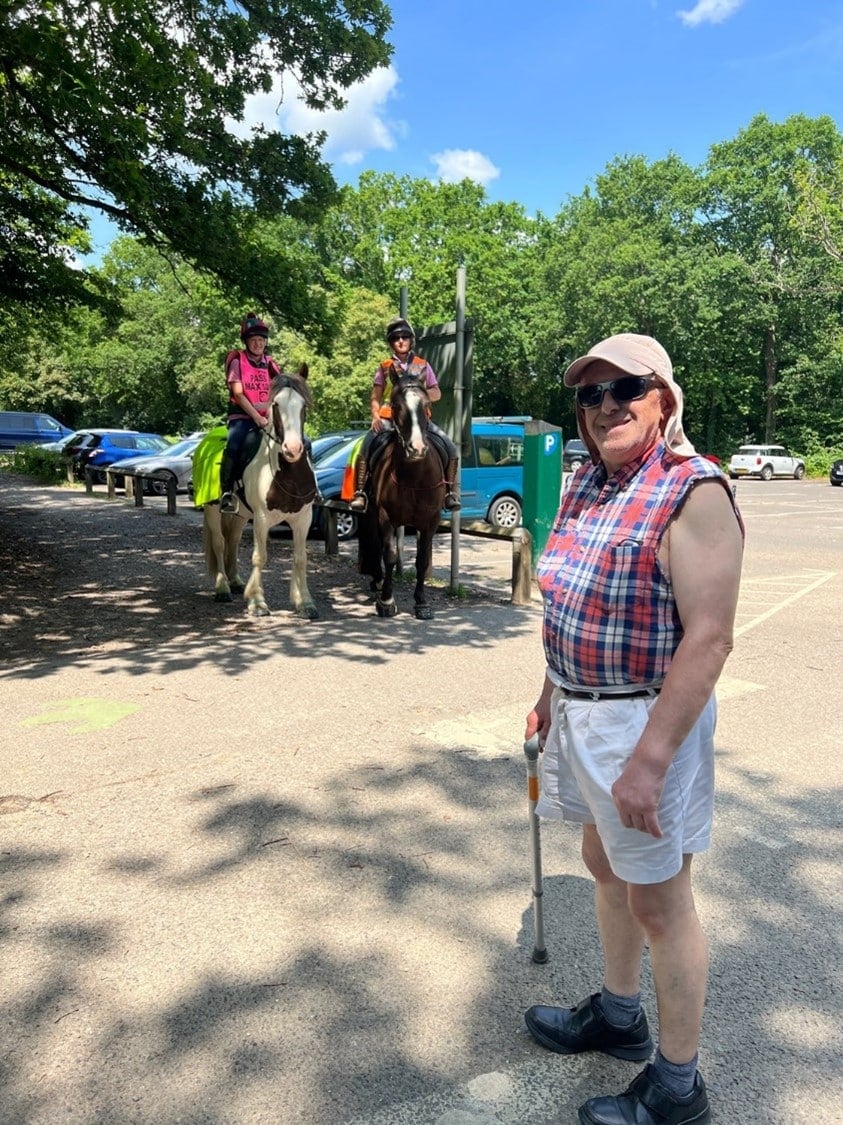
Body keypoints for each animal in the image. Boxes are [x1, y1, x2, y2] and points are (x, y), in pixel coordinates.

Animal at [355, 380, 447, 625]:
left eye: (426, 404)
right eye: (396, 405)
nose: (417, 449)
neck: (414, 476)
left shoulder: (430, 521)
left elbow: (422, 560)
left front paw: (422, 603)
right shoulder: (386, 517)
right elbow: (390, 556)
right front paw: (386, 601)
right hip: (373, 511)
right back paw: (377, 581)